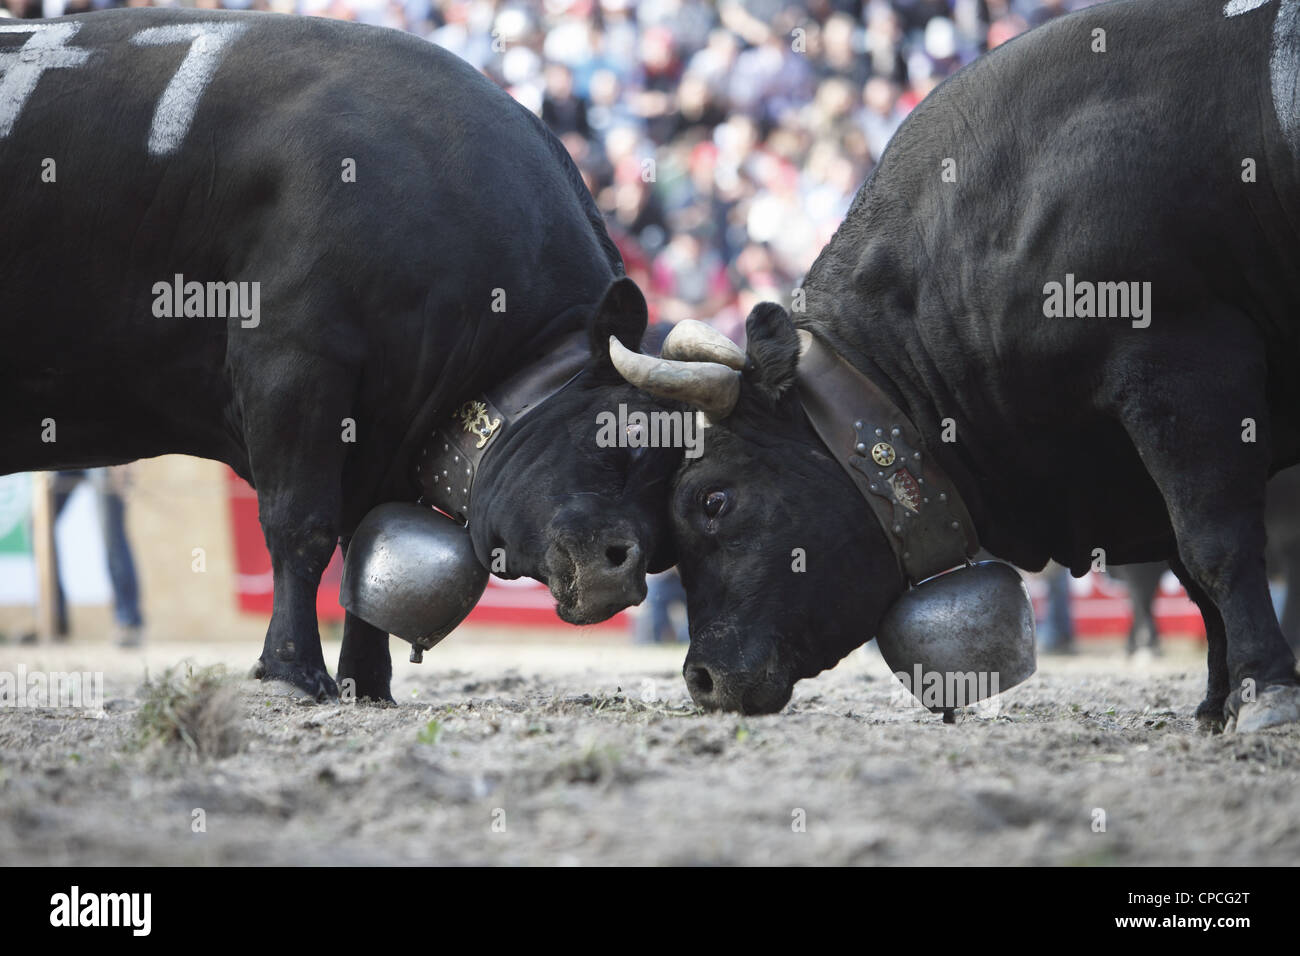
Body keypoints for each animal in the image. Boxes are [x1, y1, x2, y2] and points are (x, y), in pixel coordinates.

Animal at [0, 9, 686, 702]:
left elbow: (362, 540)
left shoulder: (385, 421)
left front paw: (368, 682)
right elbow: (300, 525)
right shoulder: (291, 361)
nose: (621, 574)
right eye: (623, 438)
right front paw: (293, 668)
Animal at [618, 0, 1300, 728]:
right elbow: (1192, 576)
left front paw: (1264, 689)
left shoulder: (1182, 367)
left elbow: (1214, 546)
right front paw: (1216, 703)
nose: (702, 678)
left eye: (712, 499)